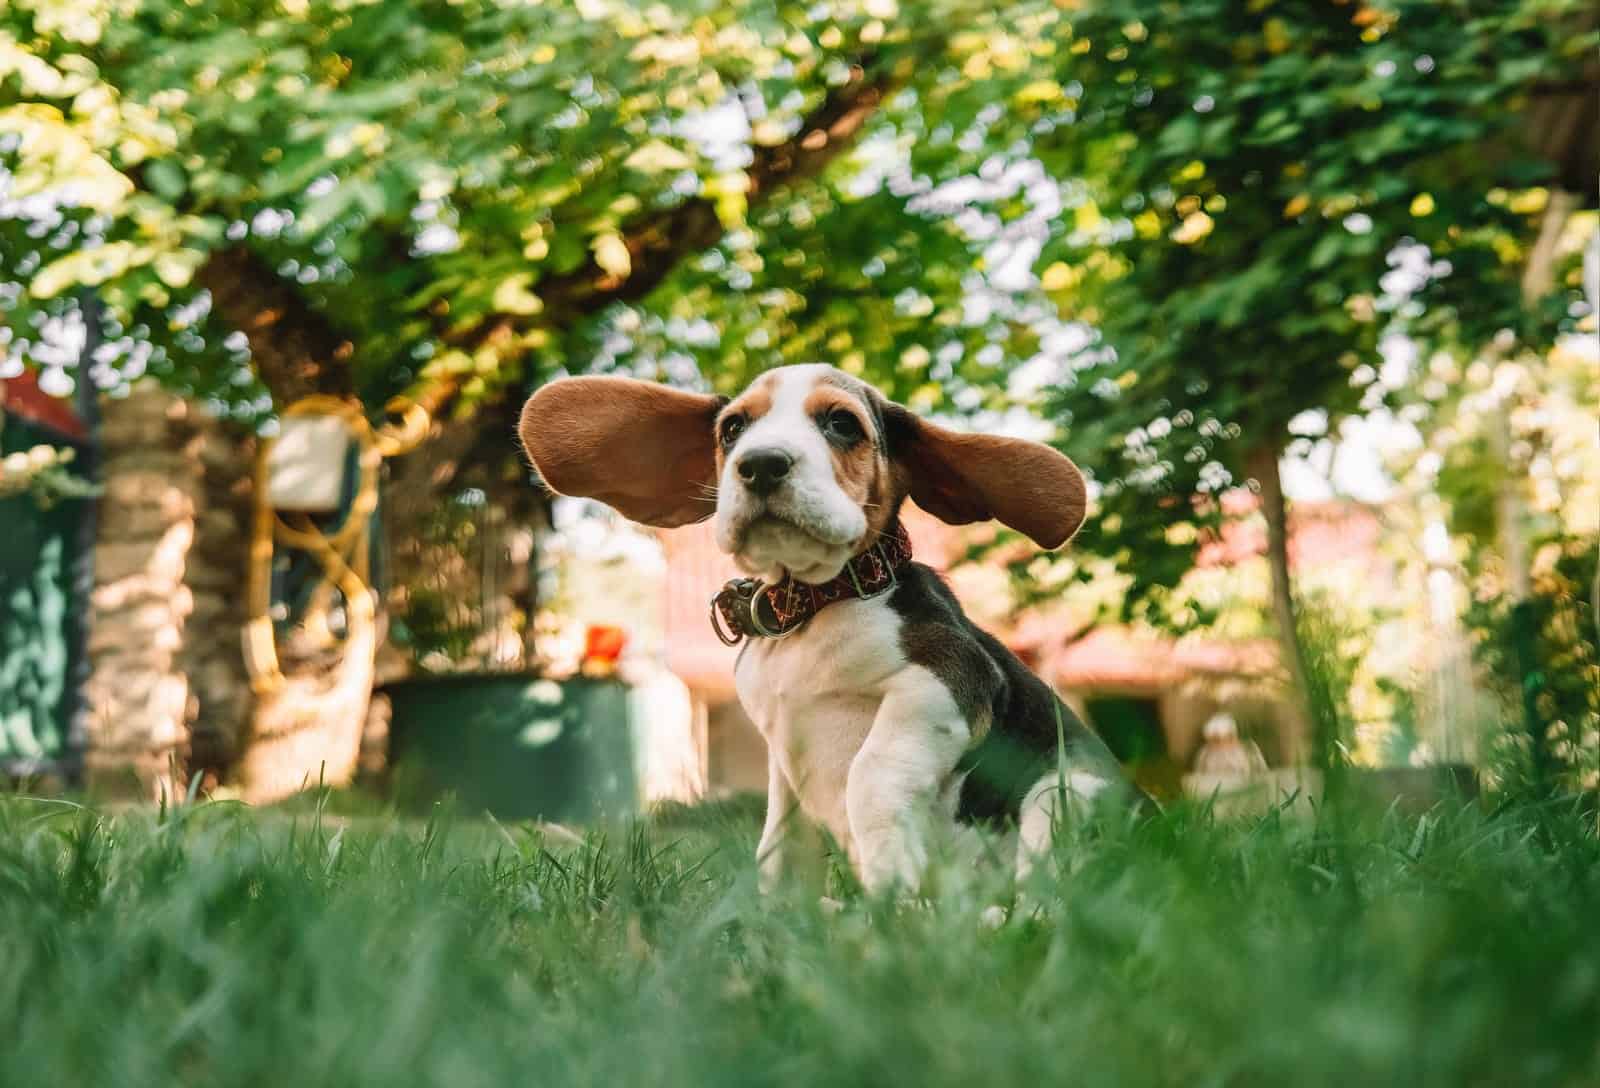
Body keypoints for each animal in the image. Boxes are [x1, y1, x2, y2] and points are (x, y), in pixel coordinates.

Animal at [521, 361, 1139, 896]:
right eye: (732, 429)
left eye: (842, 423)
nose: (761, 464)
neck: (812, 608)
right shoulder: (783, 760)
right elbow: (778, 845)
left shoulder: (950, 678)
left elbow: (870, 775)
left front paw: (894, 893)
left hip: (1069, 794)